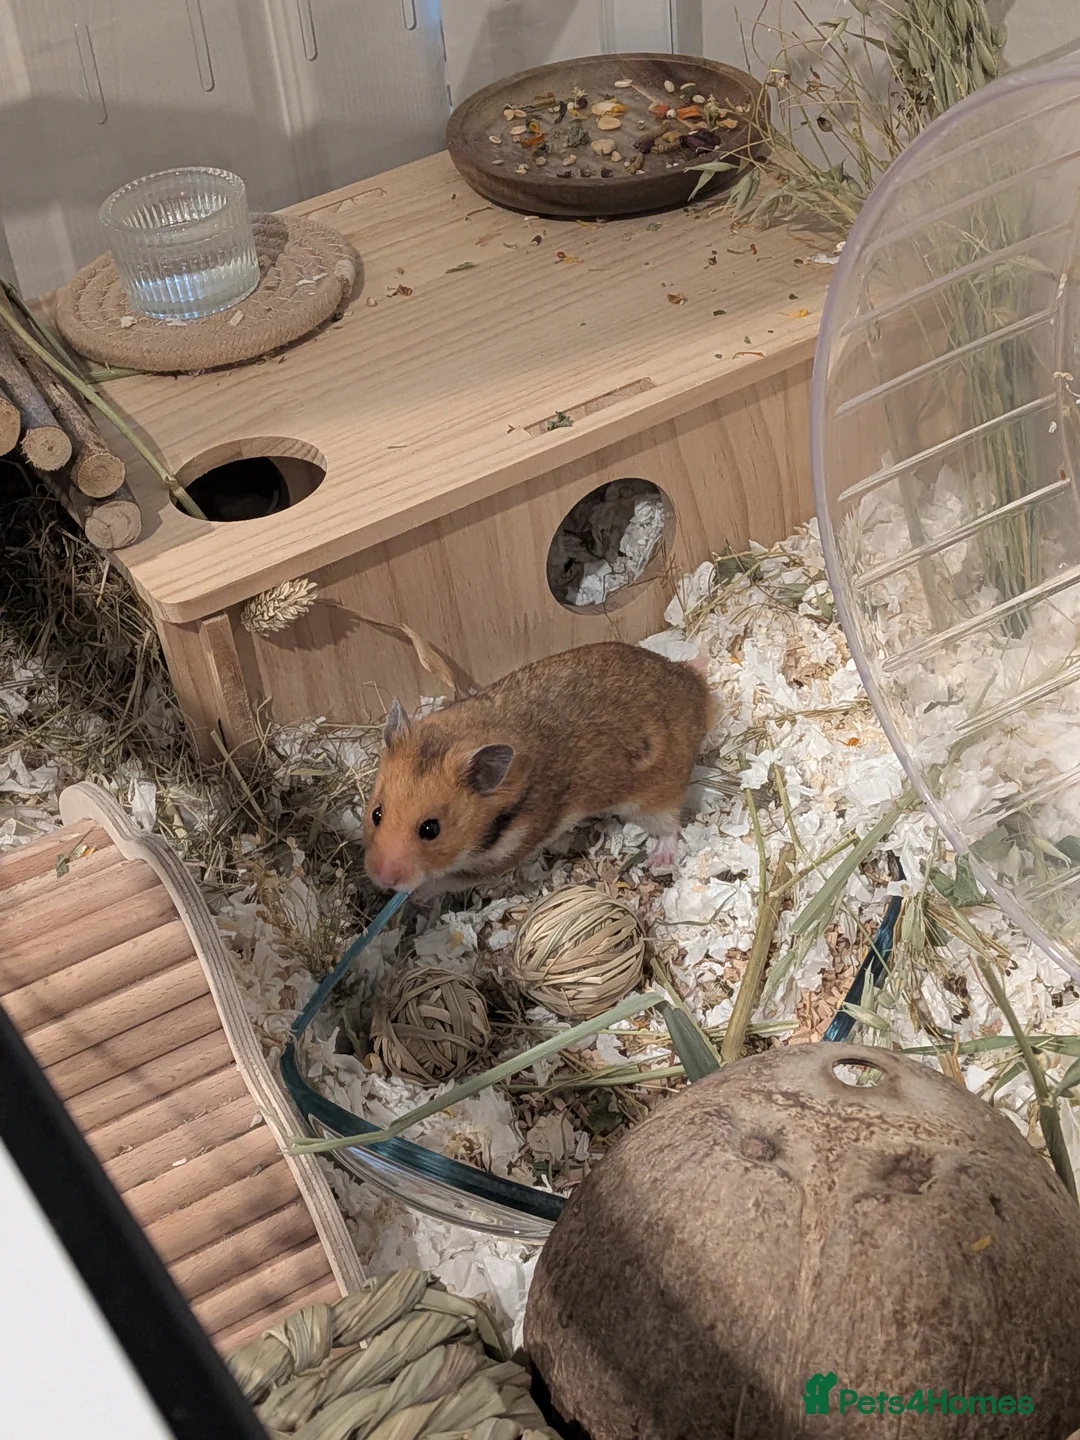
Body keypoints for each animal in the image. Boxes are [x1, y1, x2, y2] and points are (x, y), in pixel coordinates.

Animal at [362, 641, 715, 898]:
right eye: (376, 813)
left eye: (430, 829)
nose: (381, 879)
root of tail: (699, 693)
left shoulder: (504, 854)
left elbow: (446, 881)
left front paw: (416, 898)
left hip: (655, 796)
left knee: (670, 826)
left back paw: (660, 859)